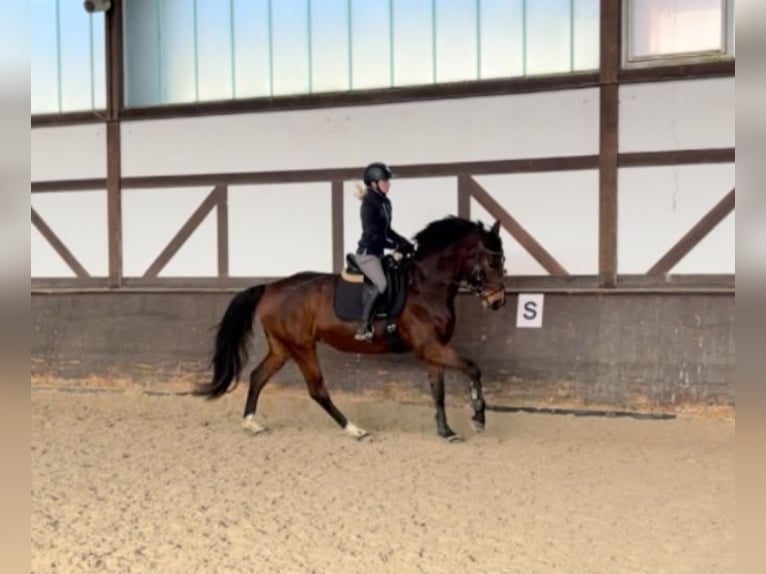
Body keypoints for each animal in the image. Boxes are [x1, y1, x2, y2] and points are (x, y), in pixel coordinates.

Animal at [192, 217, 508, 446]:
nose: (498, 301)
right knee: (317, 390)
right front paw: (478, 418)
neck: (426, 286)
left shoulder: (434, 350)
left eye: (502, 261)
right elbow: (473, 367)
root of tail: (270, 287)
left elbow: (438, 392)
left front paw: (446, 432)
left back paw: (251, 424)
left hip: (283, 347)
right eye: (493, 261)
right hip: (302, 347)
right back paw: (355, 430)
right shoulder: (430, 347)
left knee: (258, 377)